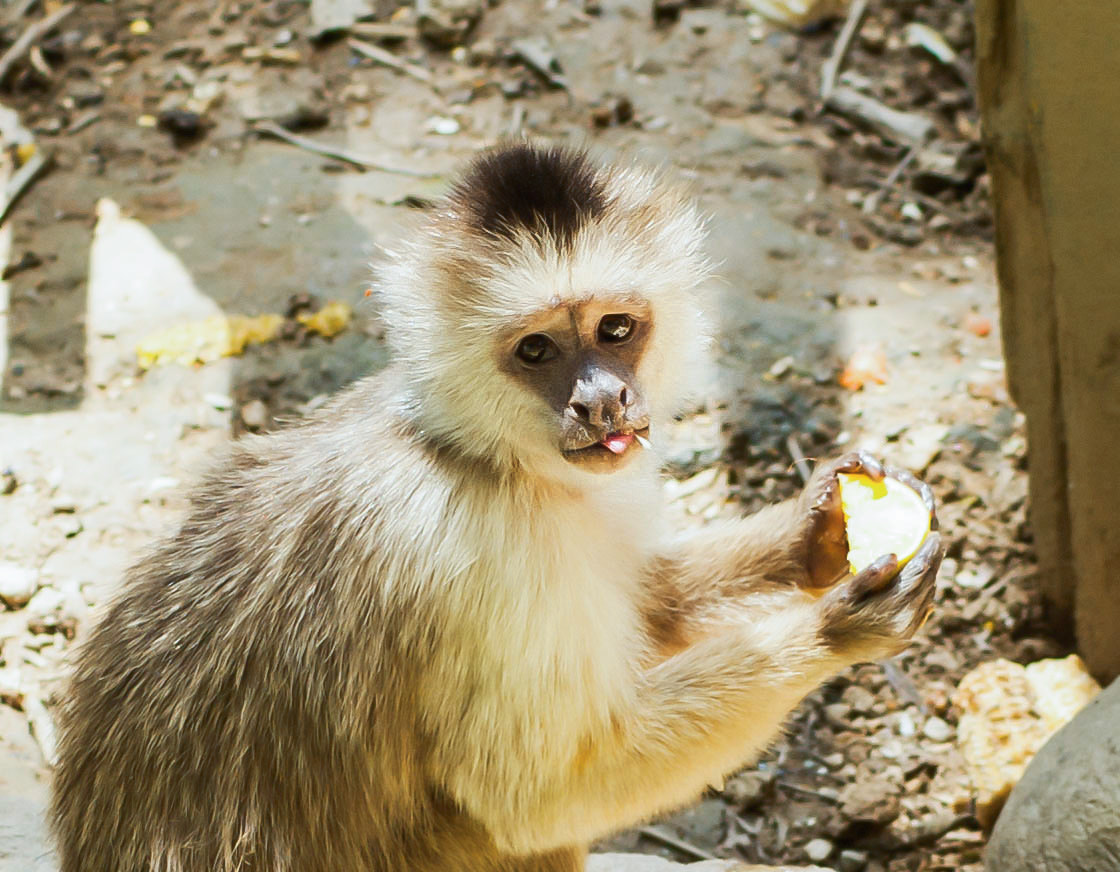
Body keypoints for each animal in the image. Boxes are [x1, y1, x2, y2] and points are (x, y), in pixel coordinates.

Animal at [49, 143, 942, 872]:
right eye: (538, 350)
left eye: (616, 329)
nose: (602, 401)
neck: (486, 461)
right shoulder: (482, 563)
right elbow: (535, 796)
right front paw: (832, 630)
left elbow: (647, 605)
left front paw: (817, 536)